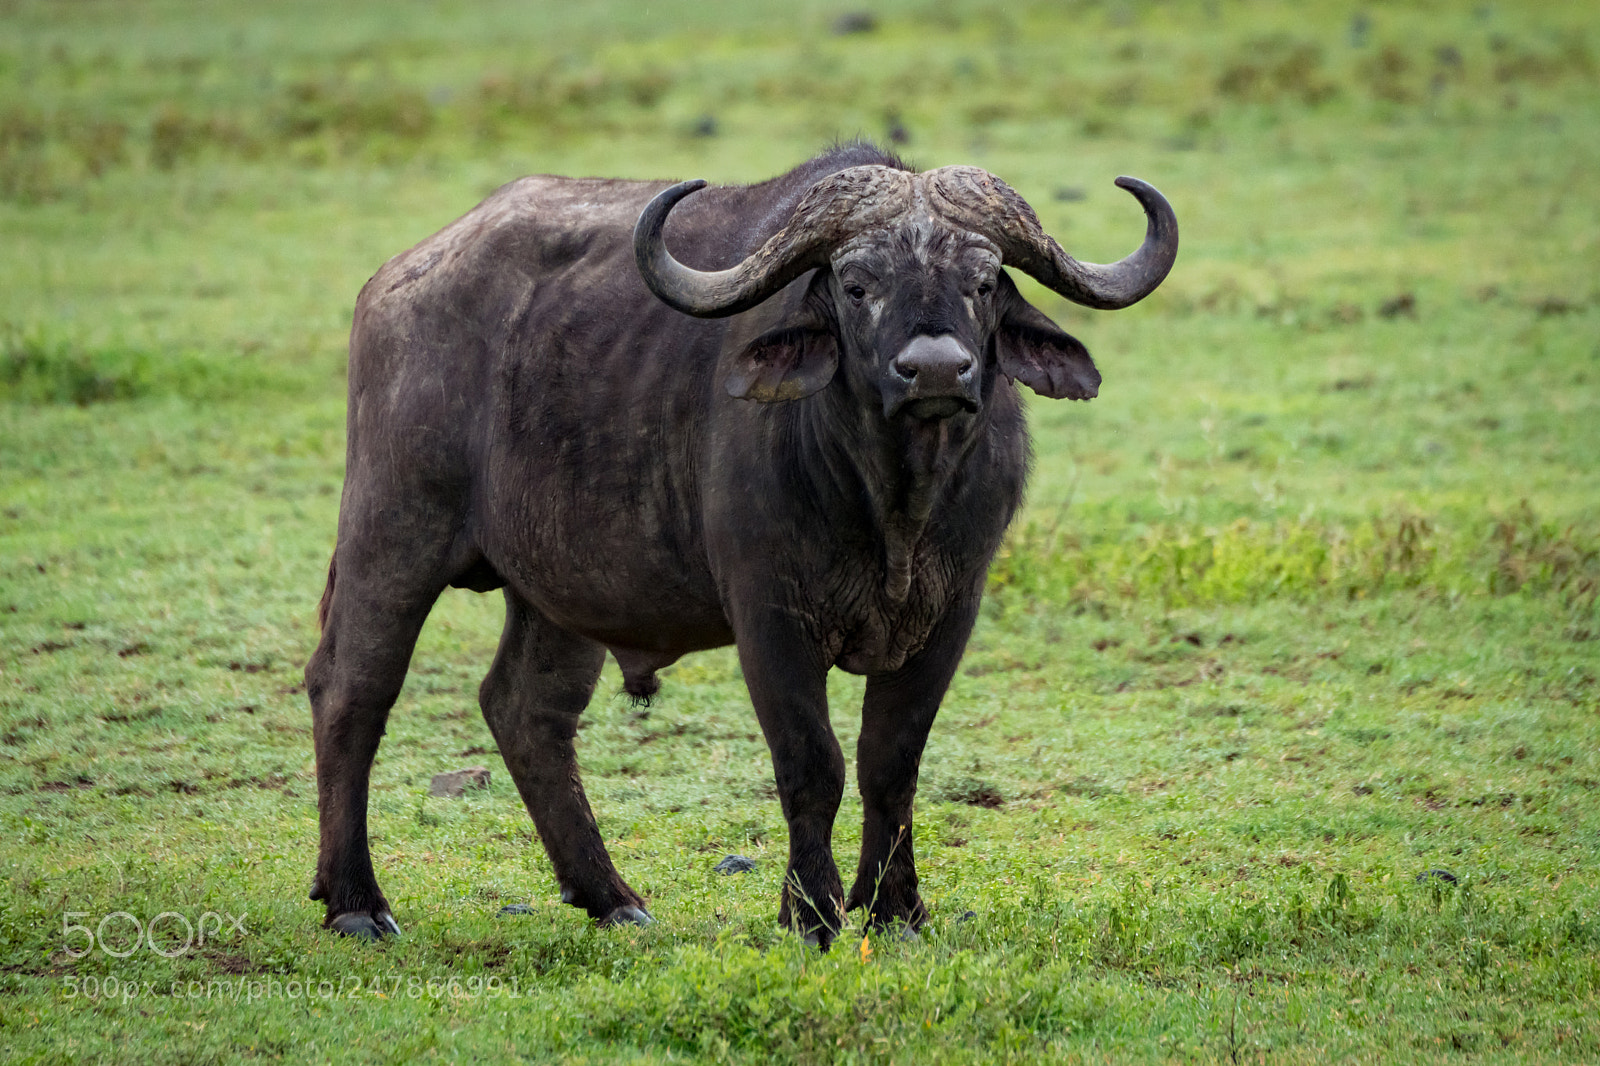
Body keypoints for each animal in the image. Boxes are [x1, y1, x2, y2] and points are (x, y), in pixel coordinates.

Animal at [306, 142, 1176, 946]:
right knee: (351, 691)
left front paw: (896, 910)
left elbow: (891, 764)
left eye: (984, 281)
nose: (935, 371)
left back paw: (612, 897)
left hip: (558, 591)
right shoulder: (770, 618)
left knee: (526, 710)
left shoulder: (950, 614)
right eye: (856, 286)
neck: (894, 505)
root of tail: (395, 284)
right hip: (393, 533)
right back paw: (356, 902)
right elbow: (812, 763)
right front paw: (811, 914)